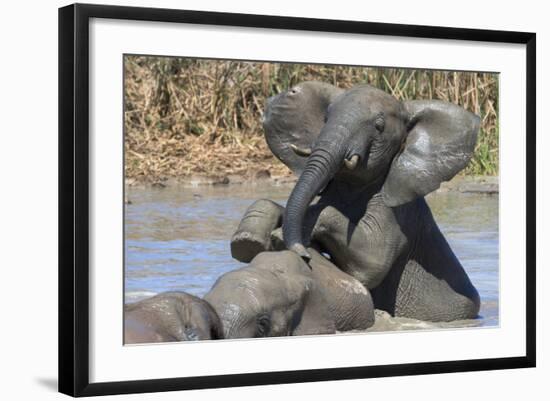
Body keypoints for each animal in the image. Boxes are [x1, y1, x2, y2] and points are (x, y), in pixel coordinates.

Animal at [233, 81, 484, 322]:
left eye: (379, 126)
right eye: (326, 119)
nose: (304, 255)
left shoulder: (399, 214)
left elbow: (372, 264)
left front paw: (280, 235)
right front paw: (248, 240)